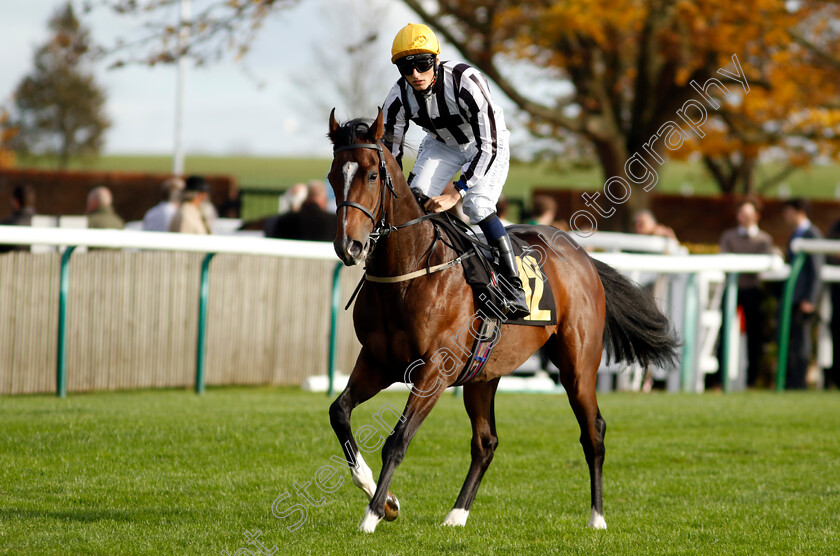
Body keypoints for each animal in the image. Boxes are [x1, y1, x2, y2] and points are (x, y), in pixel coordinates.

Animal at [324, 109, 680, 536]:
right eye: (333, 176)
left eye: (373, 175)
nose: (350, 245)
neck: (409, 270)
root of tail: (581, 254)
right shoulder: (378, 361)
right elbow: (339, 412)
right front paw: (385, 499)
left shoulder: (434, 370)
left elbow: (397, 440)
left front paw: (374, 514)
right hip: (483, 373)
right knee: (486, 442)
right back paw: (456, 515)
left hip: (577, 365)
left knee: (593, 431)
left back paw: (597, 517)